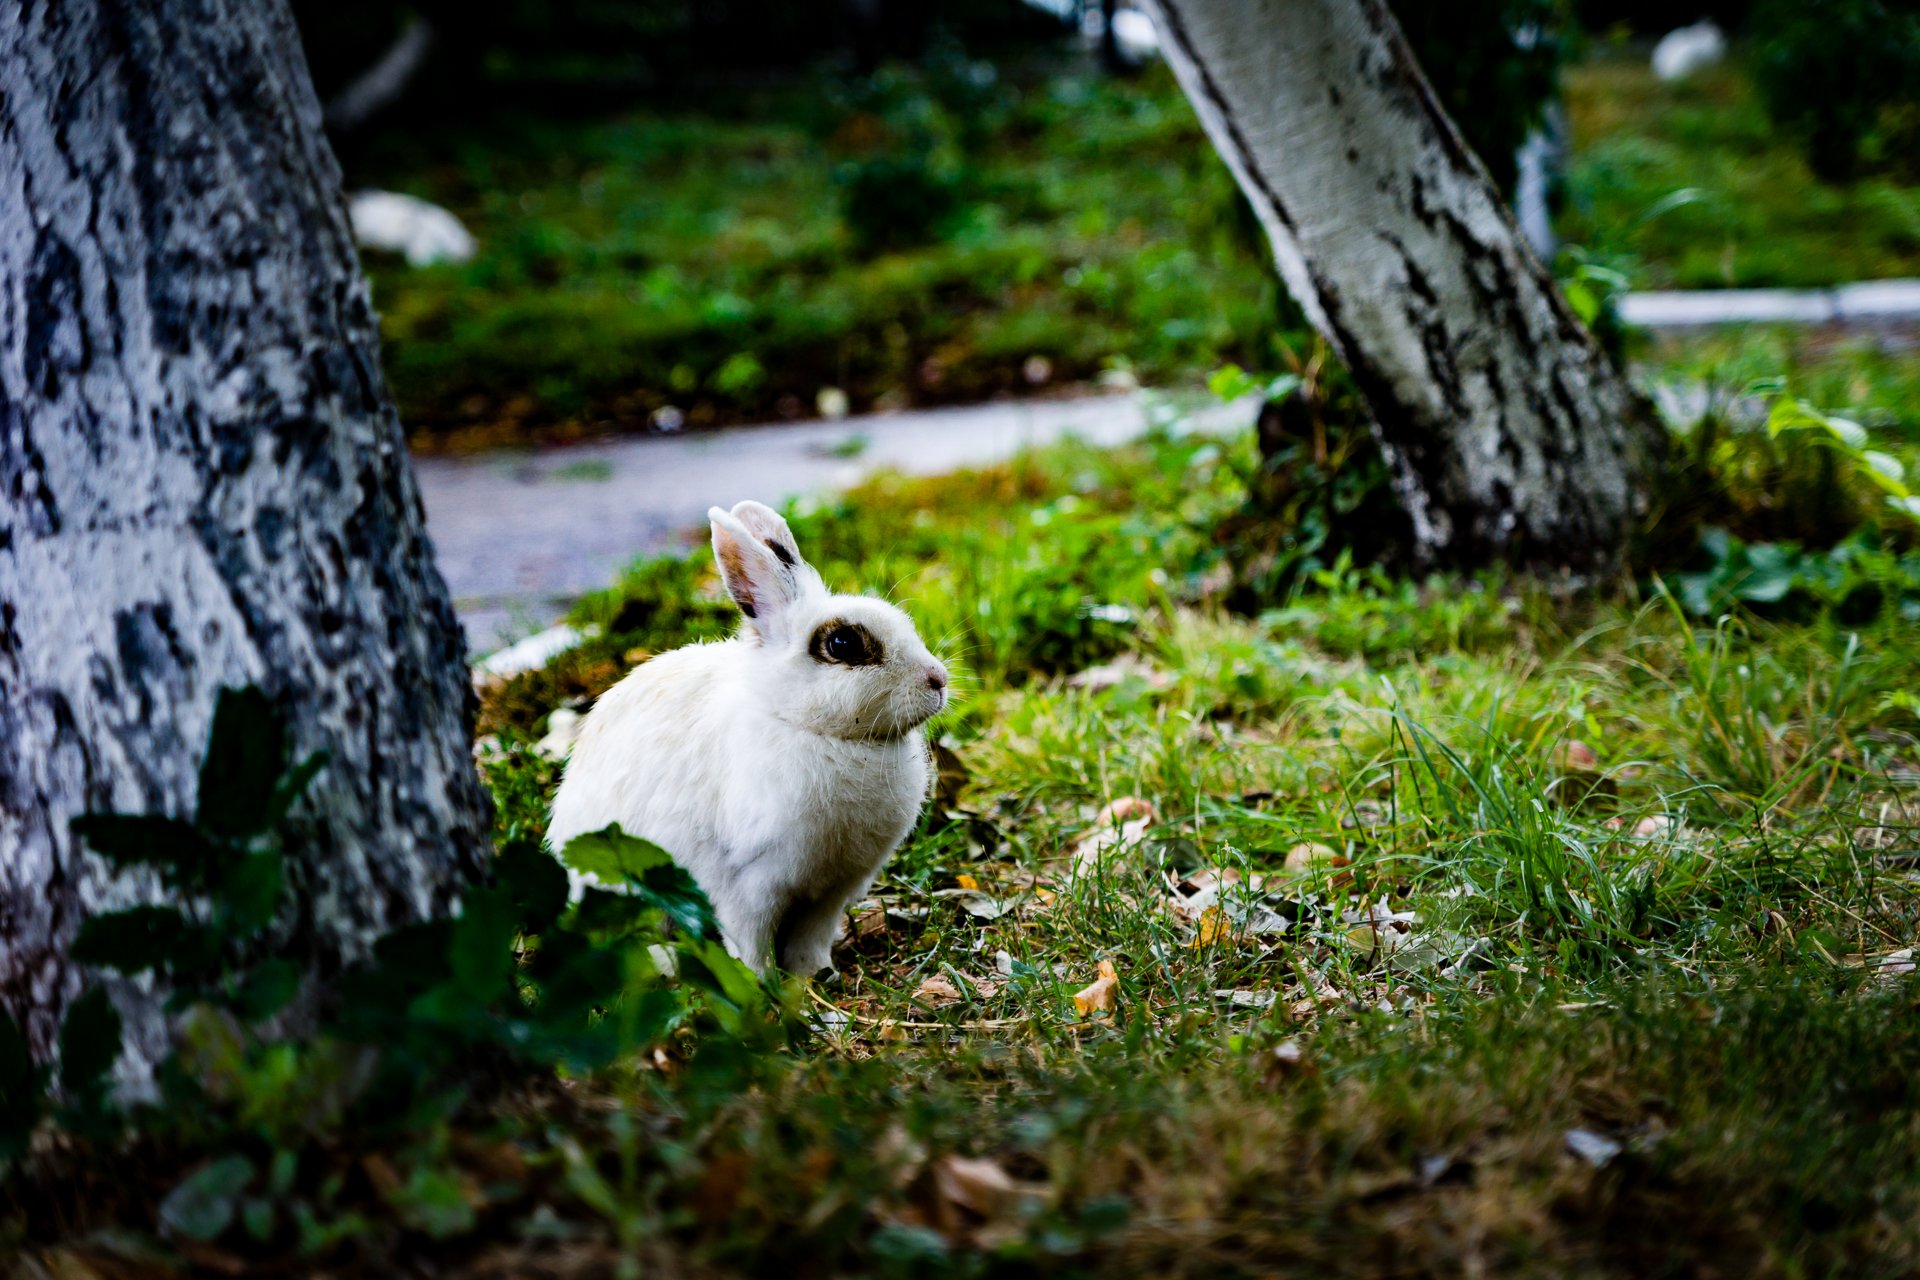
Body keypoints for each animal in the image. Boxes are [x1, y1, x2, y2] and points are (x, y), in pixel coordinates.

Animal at [545, 500, 949, 976]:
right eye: (843, 643)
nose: (938, 679)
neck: (802, 725)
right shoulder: (751, 884)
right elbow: (750, 941)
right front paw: (763, 984)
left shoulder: (833, 891)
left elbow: (812, 938)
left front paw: (813, 975)